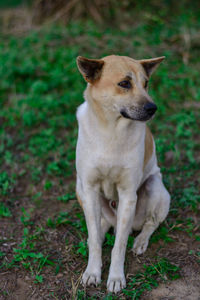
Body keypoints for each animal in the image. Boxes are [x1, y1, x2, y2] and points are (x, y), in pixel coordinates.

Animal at [75, 54, 170, 292]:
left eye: (146, 83)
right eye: (124, 83)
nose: (153, 108)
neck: (111, 130)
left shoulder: (128, 195)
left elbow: (119, 246)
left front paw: (116, 277)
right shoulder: (89, 188)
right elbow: (94, 241)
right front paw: (92, 272)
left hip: (155, 187)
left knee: (149, 224)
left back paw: (140, 241)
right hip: (79, 188)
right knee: (100, 227)